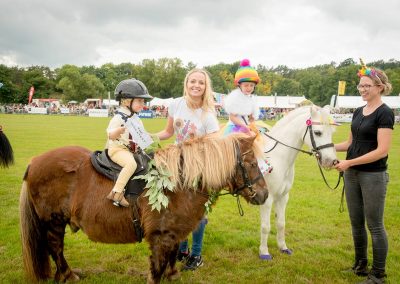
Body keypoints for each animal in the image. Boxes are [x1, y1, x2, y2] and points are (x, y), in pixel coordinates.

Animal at [19, 134, 268, 284]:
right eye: (252, 164)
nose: (264, 194)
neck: (177, 184)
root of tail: (34, 162)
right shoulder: (160, 237)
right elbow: (157, 268)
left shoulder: (173, 234)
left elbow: (171, 258)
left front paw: (172, 275)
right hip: (54, 222)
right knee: (56, 248)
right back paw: (68, 275)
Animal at [258, 104, 340, 260]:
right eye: (318, 132)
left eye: (332, 132)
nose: (332, 161)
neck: (277, 157)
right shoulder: (267, 199)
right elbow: (265, 227)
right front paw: (264, 252)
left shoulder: (283, 197)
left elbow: (281, 223)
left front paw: (283, 247)